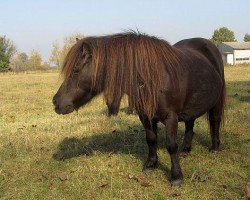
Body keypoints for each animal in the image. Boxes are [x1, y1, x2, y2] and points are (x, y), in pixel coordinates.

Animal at [52, 31, 225, 186]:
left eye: (75, 71)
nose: (55, 102)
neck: (152, 78)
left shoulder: (171, 117)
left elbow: (171, 145)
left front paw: (176, 176)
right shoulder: (145, 116)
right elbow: (151, 139)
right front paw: (151, 164)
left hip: (216, 103)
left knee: (215, 121)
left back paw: (215, 148)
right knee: (190, 124)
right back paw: (186, 149)